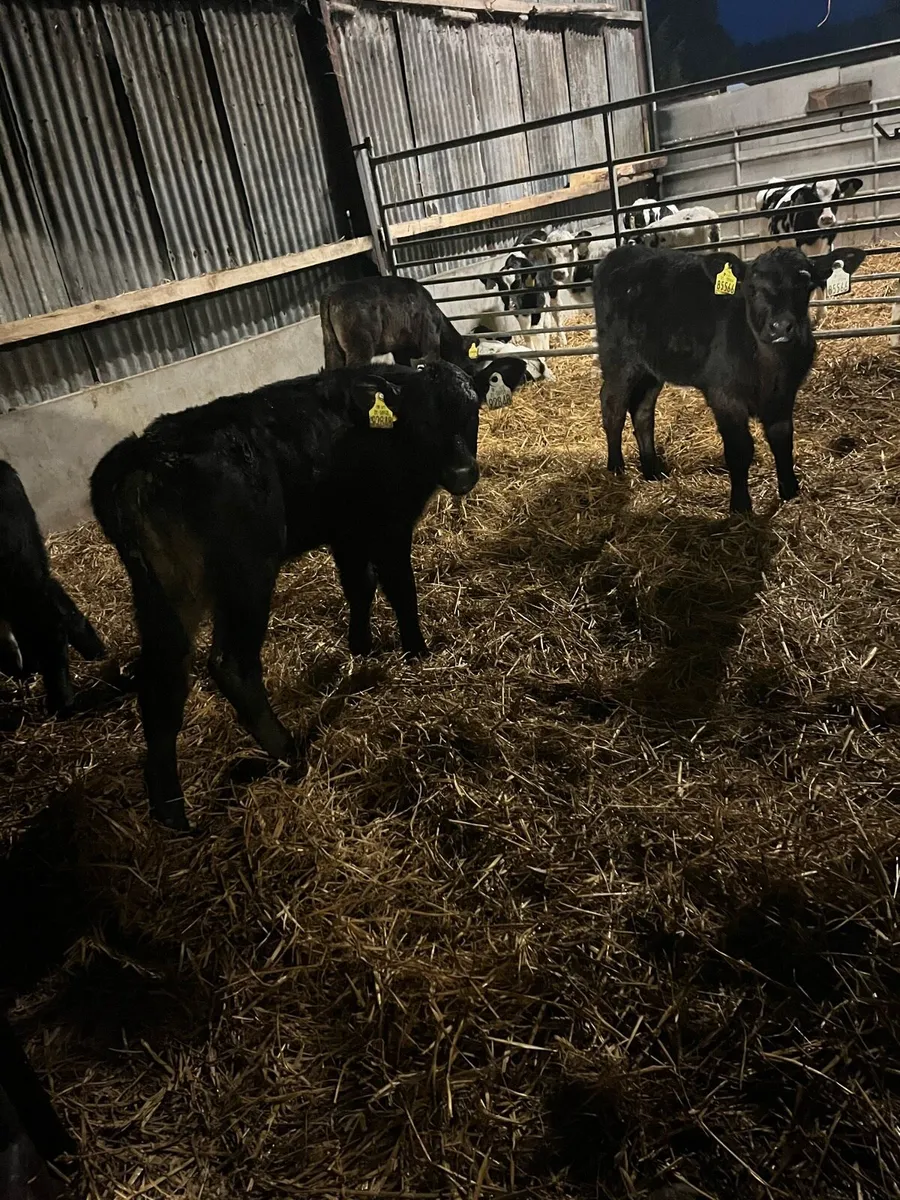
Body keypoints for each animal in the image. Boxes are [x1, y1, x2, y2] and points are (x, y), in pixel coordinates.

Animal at [90, 362, 509, 831]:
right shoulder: (389, 524)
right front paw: (416, 652)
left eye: (471, 411)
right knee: (231, 664)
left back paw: (170, 810)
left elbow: (359, 585)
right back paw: (288, 751)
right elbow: (402, 590)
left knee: (162, 679)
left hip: (160, 595)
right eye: (421, 422)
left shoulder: (347, 530)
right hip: (245, 573)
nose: (462, 474)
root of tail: (137, 455)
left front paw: (361, 647)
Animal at [593, 244, 867, 514]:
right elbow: (740, 448)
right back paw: (616, 467)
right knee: (612, 406)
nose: (780, 327)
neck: (768, 368)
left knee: (642, 411)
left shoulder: (784, 393)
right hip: (619, 359)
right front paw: (740, 506)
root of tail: (623, 251)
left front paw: (790, 491)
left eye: (804, 284)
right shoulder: (724, 395)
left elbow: (782, 438)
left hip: (651, 368)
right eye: (752, 288)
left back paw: (652, 469)